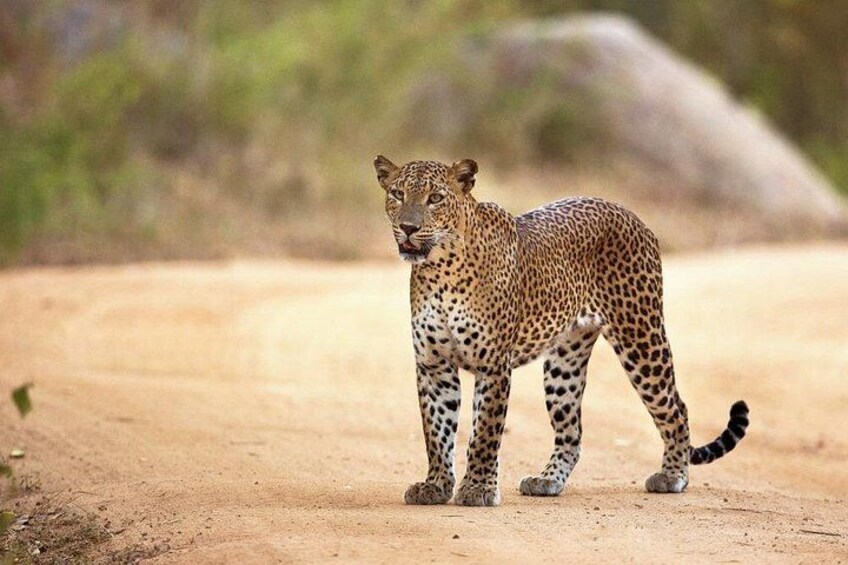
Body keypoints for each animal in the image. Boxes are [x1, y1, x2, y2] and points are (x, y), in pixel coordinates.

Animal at [373, 155, 750, 507]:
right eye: (397, 194)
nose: (408, 227)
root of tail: (629, 212)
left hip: (641, 336)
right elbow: (436, 431)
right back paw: (547, 480)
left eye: (435, 198)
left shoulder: (493, 365)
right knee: (572, 431)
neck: (440, 269)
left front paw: (478, 489)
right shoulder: (433, 365)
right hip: (564, 363)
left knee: (676, 408)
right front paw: (436, 485)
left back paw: (672, 475)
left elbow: (484, 433)